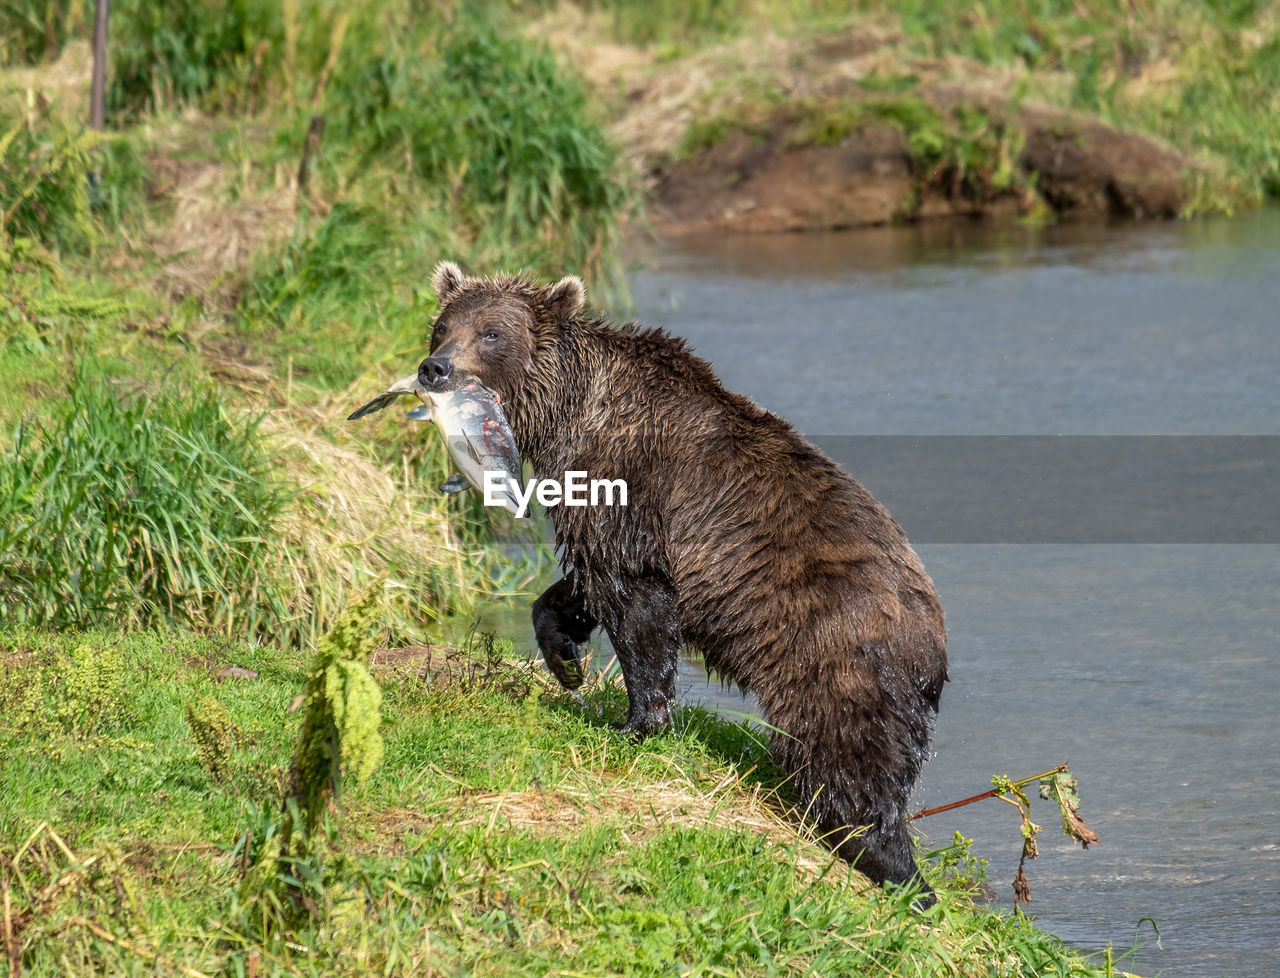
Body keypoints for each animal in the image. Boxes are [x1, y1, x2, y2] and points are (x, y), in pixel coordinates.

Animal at [419, 259, 952, 901]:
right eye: (443, 326)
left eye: (492, 333)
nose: (435, 368)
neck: (567, 415)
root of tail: (933, 642)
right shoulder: (604, 516)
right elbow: (584, 585)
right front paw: (566, 659)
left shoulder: (628, 487)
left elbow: (638, 607)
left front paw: (634, 722)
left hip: (834, 654)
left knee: (848, 760)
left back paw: (891, 865)